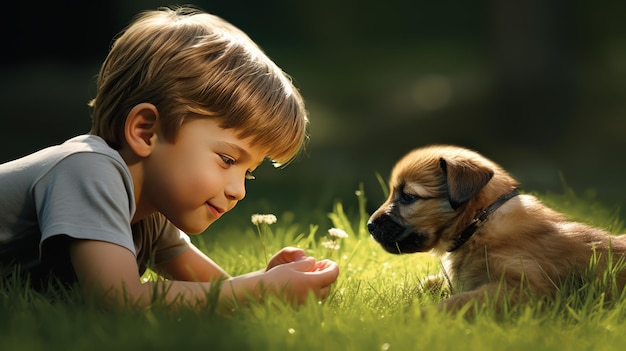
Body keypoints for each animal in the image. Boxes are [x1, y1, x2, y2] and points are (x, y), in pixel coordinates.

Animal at [366, 144, 624, 314]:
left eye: (408, 197)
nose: (369, 226)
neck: (478, 223)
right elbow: (425, 284)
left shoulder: (526, 287)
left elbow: (460, 301)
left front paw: (414, 317)